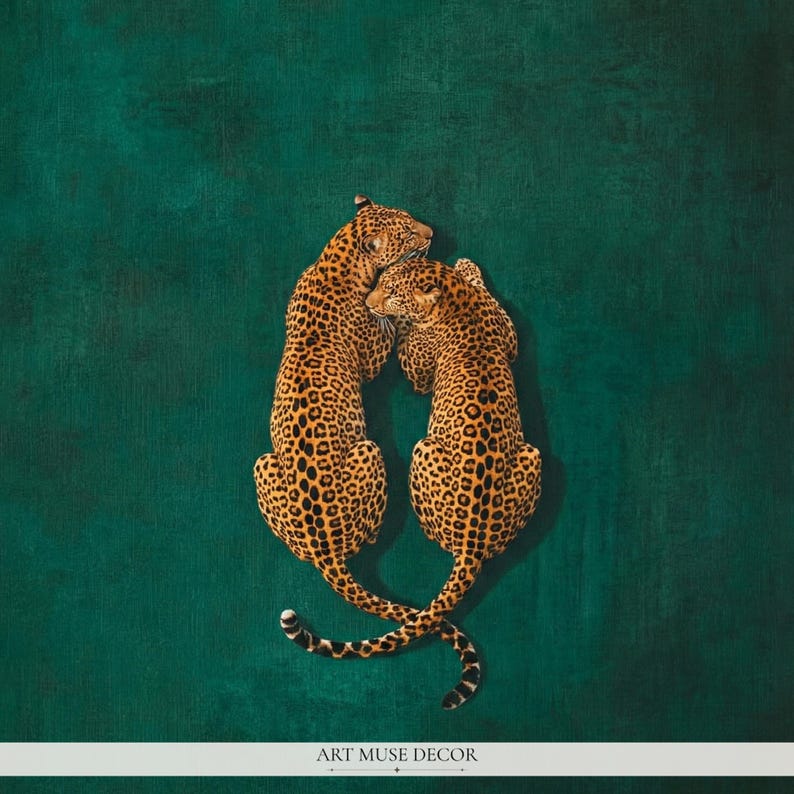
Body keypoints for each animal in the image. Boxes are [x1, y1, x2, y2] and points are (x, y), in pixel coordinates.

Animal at [253, 197, 480, 709]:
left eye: (410, 216)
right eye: (407, 234)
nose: (431, 232)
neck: (336, 260)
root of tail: (325, 550)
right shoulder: (374, 357)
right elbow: (388, 339)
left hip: (262, 464)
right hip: (370, 452)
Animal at [280, 256, 541, 706]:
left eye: (392, 292)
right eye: (381, 281)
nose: (370, 302)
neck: (455, 301)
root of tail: (472, 545)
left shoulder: (421, 368)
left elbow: (413, 362)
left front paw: (403, 320)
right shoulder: (506, 335)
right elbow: (506, 329)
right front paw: (467, 265)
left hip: (422, 450)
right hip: (530, 457)